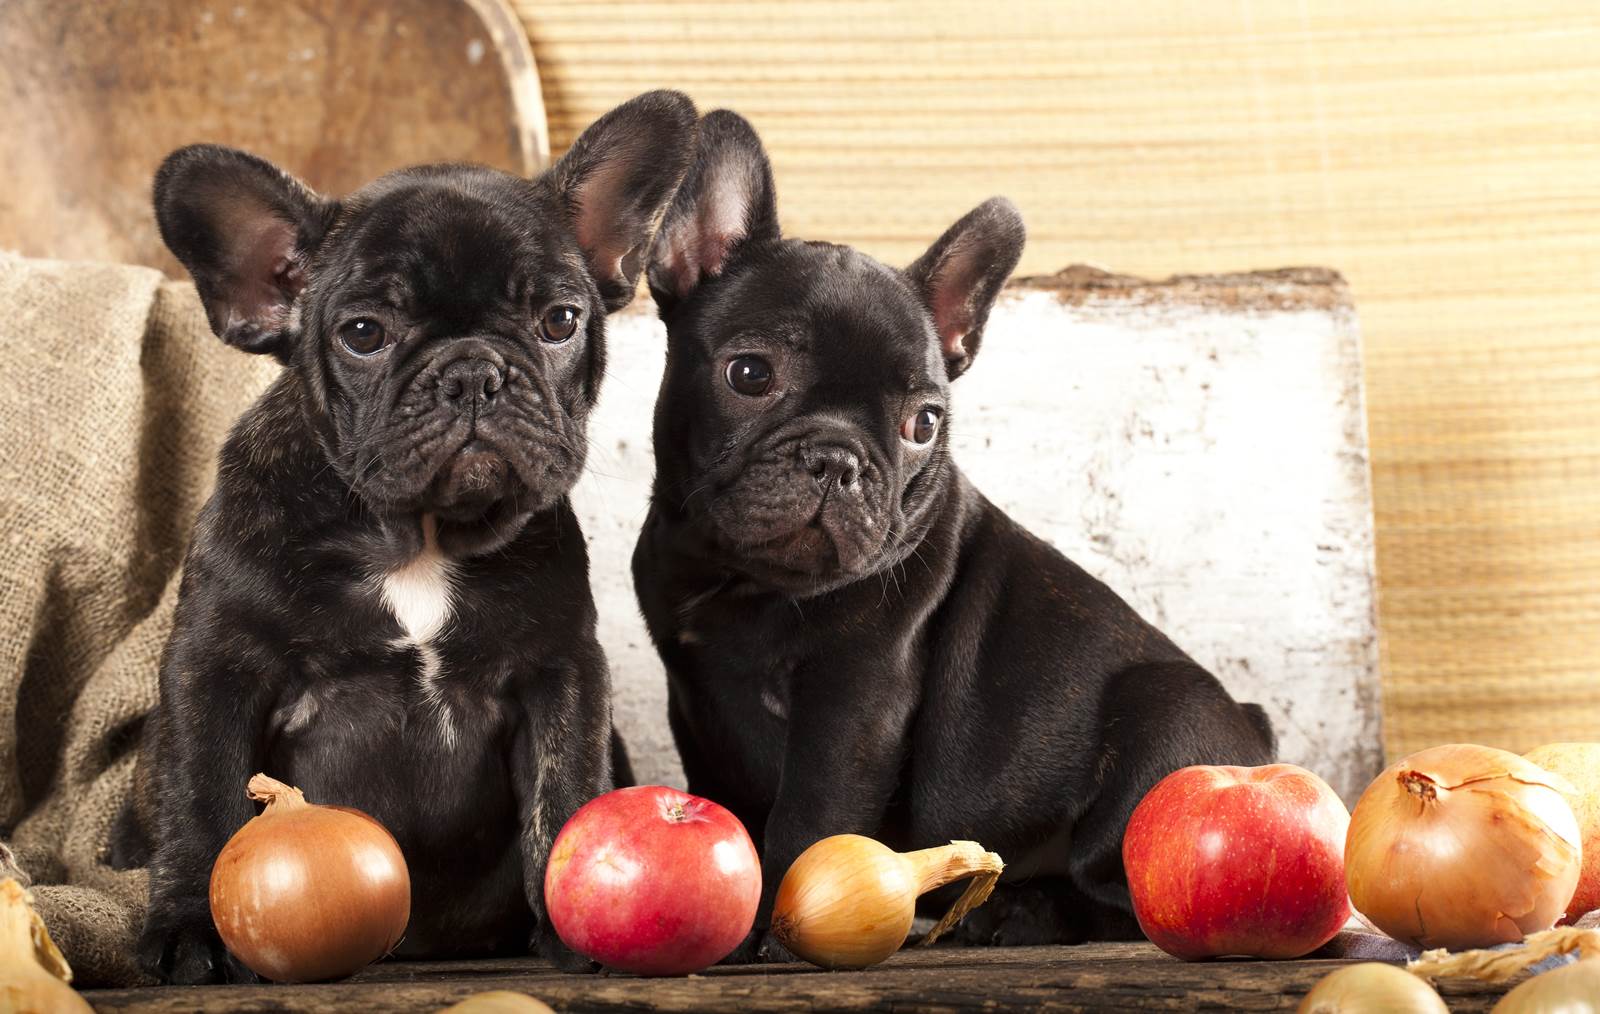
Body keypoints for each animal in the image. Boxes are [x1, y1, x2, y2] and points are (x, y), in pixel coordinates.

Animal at [112, 92, 700, 978]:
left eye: (560, 321)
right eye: (363, 334)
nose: (473, 371)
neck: (417, 535)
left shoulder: (559, 672)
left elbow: (565, 792)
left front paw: (573, 928)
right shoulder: (216, 666)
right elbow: (201, 795)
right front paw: (188, 932)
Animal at [633, 112, 1273, 953]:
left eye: (924, 423)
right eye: (749, 375)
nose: (839, 459)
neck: (748, 584)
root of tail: (1257, 736)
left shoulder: (851, 704)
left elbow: (806, 817)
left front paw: (778, 925)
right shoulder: (695, 701)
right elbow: (724, 802)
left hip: (1166, 724)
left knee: (1129, 891)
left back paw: (1023, 913)